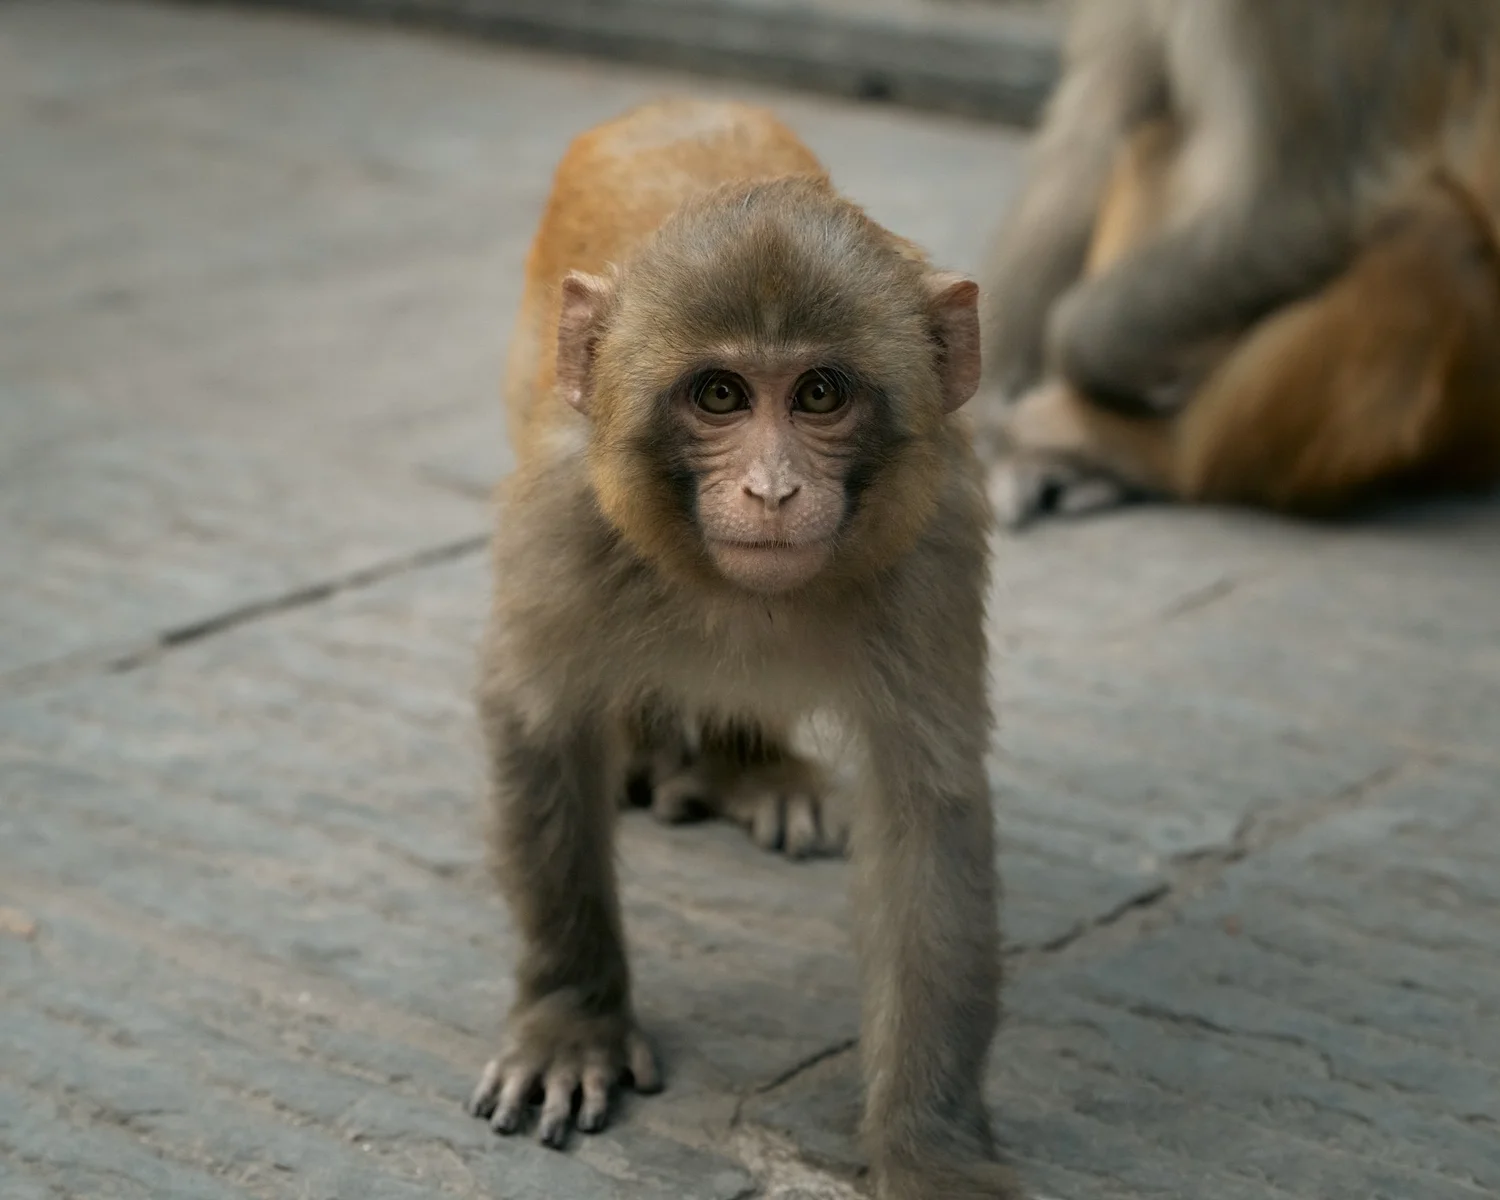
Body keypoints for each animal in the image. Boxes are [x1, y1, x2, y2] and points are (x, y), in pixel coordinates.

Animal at [466, 98, 1020, 1200]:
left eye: (818, 395)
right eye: (719, 396)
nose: (771, 490)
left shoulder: (932, 543)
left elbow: (926, 810)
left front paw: (928, 1147)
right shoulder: (564, 520)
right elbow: (540, 724)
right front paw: (573, 1018)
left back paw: (747, 766)